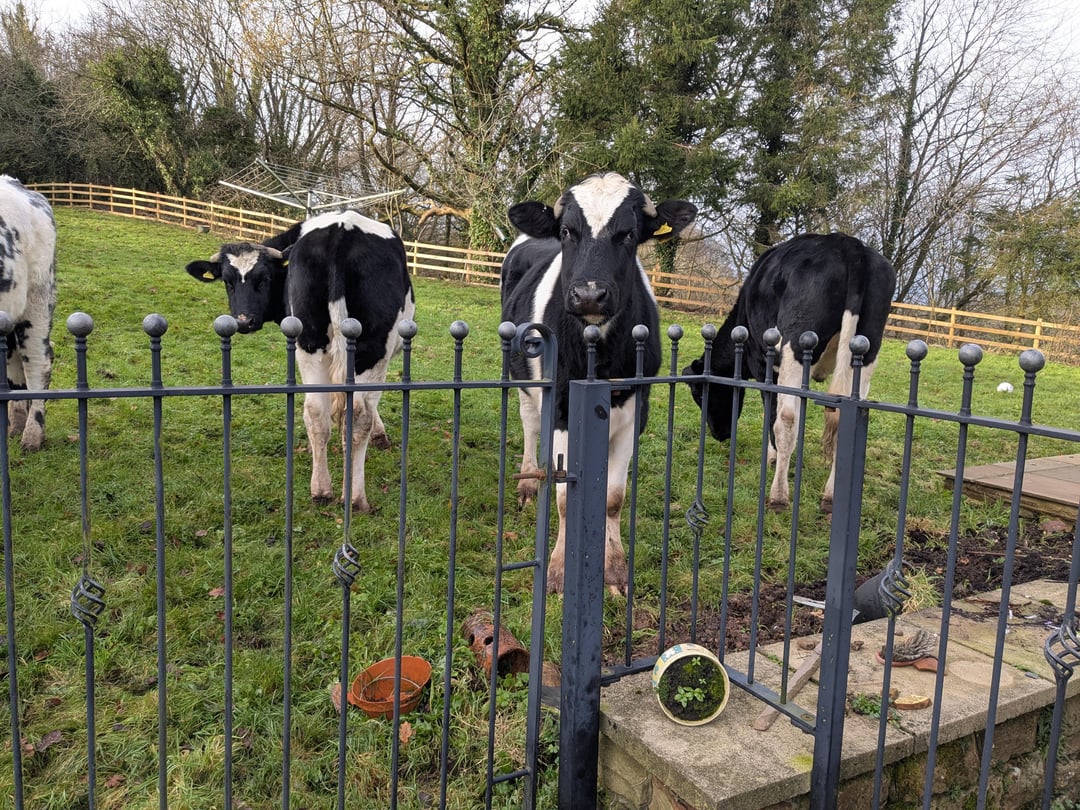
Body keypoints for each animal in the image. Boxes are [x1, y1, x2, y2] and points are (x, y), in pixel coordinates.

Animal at [186, 209, 415, 513]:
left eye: (264, 279)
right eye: (227, 281)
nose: (243, 321)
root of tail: (339, 232)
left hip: (310, 343)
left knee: (317, 413)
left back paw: (322, 489)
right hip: (367, 348)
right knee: (354, 416)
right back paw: (353, 497)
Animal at [501, 172, 697, 595]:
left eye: (630, 234)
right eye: (567, 231)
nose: (589, 294)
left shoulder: (636, 406)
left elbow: (613, 497)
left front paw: (615, 570)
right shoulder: (560, 401)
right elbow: (563, 497)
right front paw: (559, 571)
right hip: (523, 377)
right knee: (529, 422)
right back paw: (529, 483)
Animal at [684, 232, 896, 513]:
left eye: (698, 394)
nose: (719, 434)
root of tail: (846, 242)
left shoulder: (764, 366)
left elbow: (772, 412)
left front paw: (772, 456)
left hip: (795, 341)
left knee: (787, 419)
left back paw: (778, 496)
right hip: (867, 348)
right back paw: (830, 496)